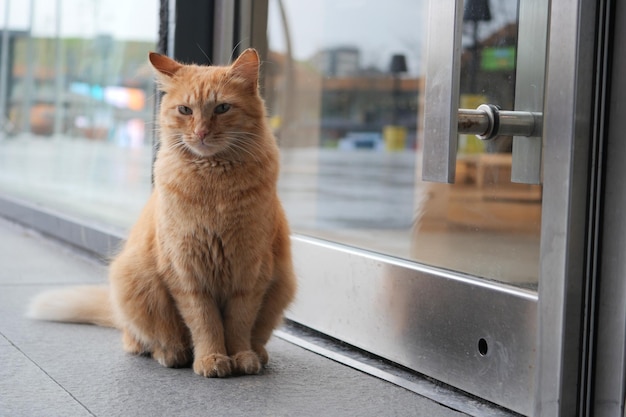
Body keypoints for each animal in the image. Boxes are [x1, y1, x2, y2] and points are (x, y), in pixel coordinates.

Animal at [26, 48, 294, 376]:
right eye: (185, 110)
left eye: (222, 108)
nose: (201, 132)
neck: (214, 182)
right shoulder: (186, 272)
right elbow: (205, 323)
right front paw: (211, 358)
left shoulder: (250, 272)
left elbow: (238, 324)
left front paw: (241, 356)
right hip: (134, 281)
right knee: (141, 341)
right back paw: (172, 353)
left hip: (283, 286)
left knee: (257, 335)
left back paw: (258, 352)